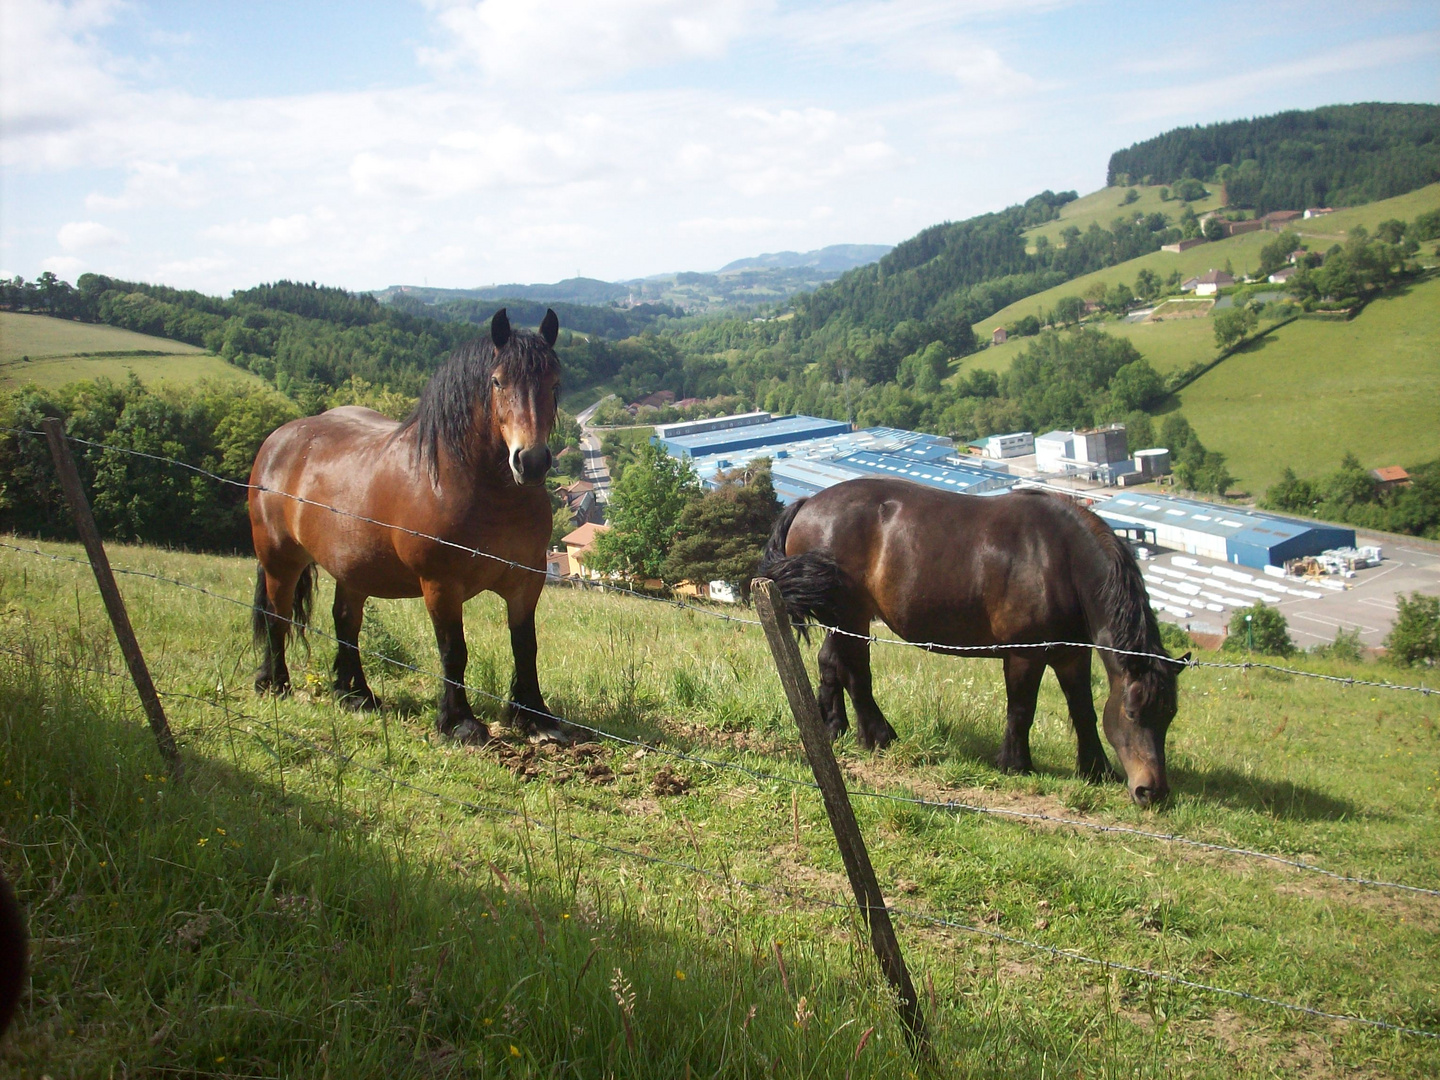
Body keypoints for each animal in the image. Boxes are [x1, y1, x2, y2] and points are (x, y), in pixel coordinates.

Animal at [247, 305, 567, 743]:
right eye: (497, 381)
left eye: (554, 383)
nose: (530, 462)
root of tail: (278, 440)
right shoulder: (440, 585)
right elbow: (453, 650)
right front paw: (460, 723)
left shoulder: (526, 580)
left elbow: (525, 645)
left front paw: (535, 716)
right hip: (280, 561)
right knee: (276, 616)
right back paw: (274, 682)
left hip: (353, 569)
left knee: (345, 621)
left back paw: (356, 696)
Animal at [760, 480, 1186, 806]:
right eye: (1132, 712)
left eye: (1169, 716)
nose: (1152, 791)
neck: (1059, 558)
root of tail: (808, 503)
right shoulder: (1024, 653)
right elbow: (1021, 709)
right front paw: (1016, 763)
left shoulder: (1071, 655)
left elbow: (1083, 709)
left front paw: (1096, 768)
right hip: (851, 618)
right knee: (854, 673)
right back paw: (879, 736)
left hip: (843, 621)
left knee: (831, 665)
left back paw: (834, 726)